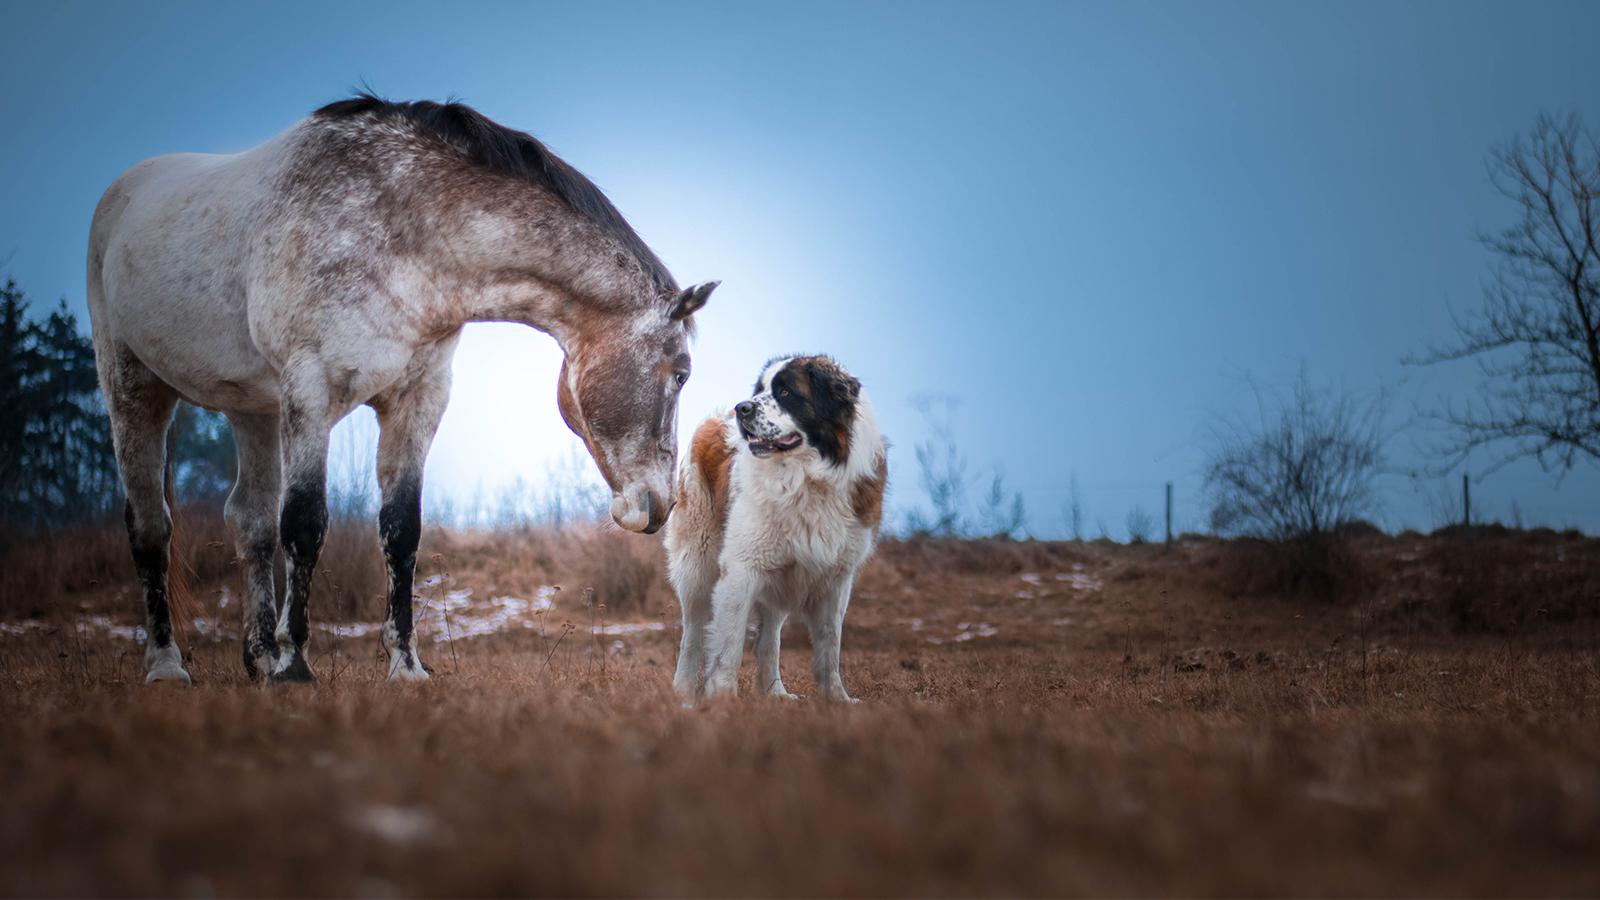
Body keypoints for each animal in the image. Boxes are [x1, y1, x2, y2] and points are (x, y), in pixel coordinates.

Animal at [84, 96, 716, 679]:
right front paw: (296, 665)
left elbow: (401, 529)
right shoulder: (311, 394)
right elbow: (306, 524)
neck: (399, 233)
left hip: (254, 412)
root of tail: (119, 195)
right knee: (152, 526)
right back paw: (169, 664)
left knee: (251, 523)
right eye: (681, 373)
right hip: (134, 389)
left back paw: (258, 657)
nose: (660, 505)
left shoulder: (417, 401)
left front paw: (405, 665)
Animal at [662, 352, 889, 701]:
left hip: (780, 576)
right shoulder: (742, 567)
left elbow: (830, 644)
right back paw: (684, 691)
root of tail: (713, 419)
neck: (807, 478)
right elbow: (728, 644)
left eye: (785, 392)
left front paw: (837, 698)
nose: (742, 408)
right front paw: (722, 699)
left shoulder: (837, 577)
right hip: (697, 564)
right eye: (760, 390)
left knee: (769, 639)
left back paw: (776, 694)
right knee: (693, 632)